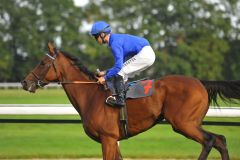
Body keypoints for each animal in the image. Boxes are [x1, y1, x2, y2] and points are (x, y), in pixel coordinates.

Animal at [21, 42, 240, 160]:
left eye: (42, 63)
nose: (25, 82)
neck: (90, 95)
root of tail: (201, 82)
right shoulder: (112, 140)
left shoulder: (108, 138)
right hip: (190, 123)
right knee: (220, 140)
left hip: (183, 123)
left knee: (211, 140)